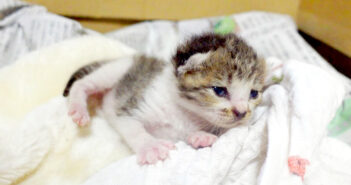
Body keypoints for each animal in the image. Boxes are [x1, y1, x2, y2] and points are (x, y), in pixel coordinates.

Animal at [64, 33, 266, 165]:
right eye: (219, 90)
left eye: (253, 94)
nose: (242, 112)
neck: (185, 111)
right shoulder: (130, 104)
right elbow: (133, 128)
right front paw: (150, 147)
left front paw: (202, 136)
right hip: (117, 70)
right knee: (83, 83)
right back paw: (79, 108)